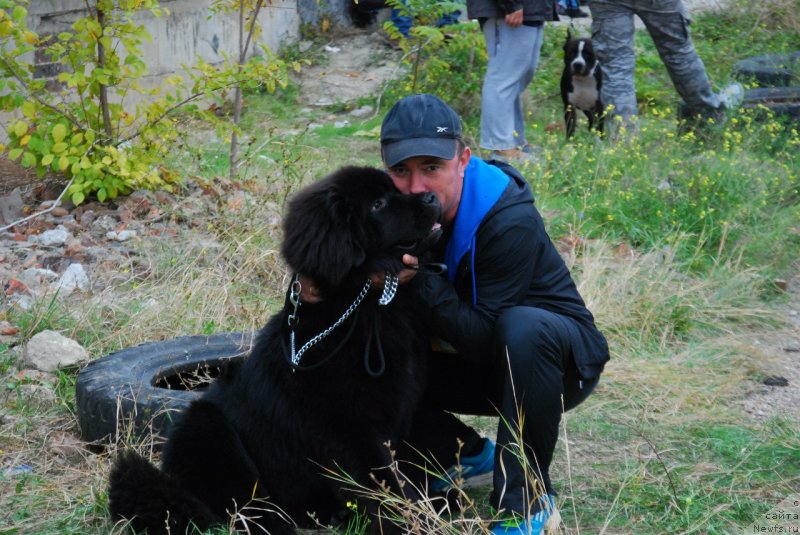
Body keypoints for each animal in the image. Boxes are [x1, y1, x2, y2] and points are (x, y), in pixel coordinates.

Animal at [108, 165, 444, 532]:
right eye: (378, 204)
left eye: (394, 190)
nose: (432, 197)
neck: (363, 306)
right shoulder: (351, 430)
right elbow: (385, 483)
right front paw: (413, 521)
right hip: (202, 425)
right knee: (240, 507)